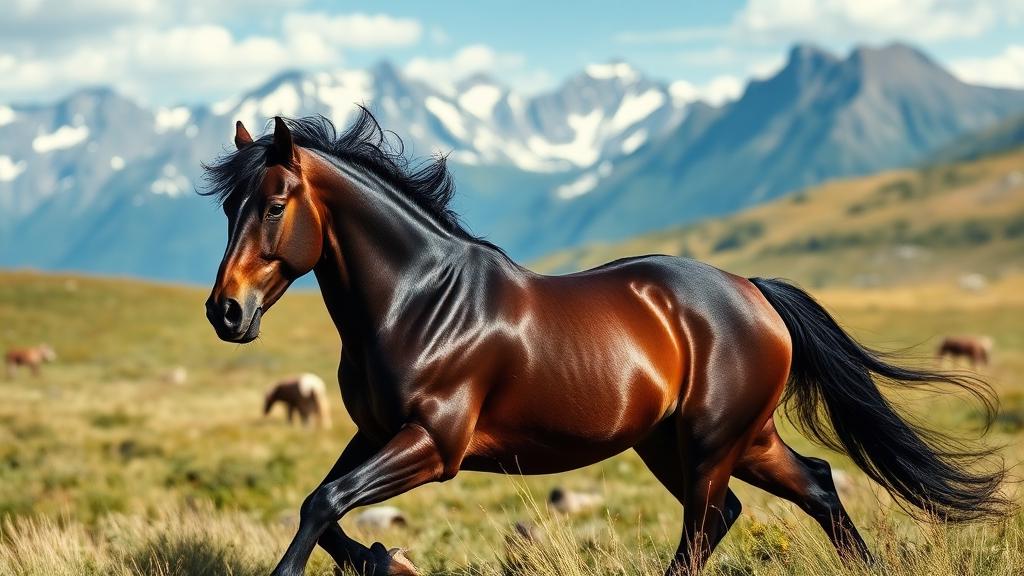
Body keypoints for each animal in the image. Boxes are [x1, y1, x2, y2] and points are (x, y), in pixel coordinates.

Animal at [201, 111, 1006, 576]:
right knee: (809, 486)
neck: (420, 302)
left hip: (712, 441)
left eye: (274, 203)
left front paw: (381, 559)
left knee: (711, 519)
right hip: (707, 440)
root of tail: (752, 291)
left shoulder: (434, 444)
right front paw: (387, 559)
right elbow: (322, 508)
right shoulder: (374, 432)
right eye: (227, 207)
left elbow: (323, 504)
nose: (225, 312)